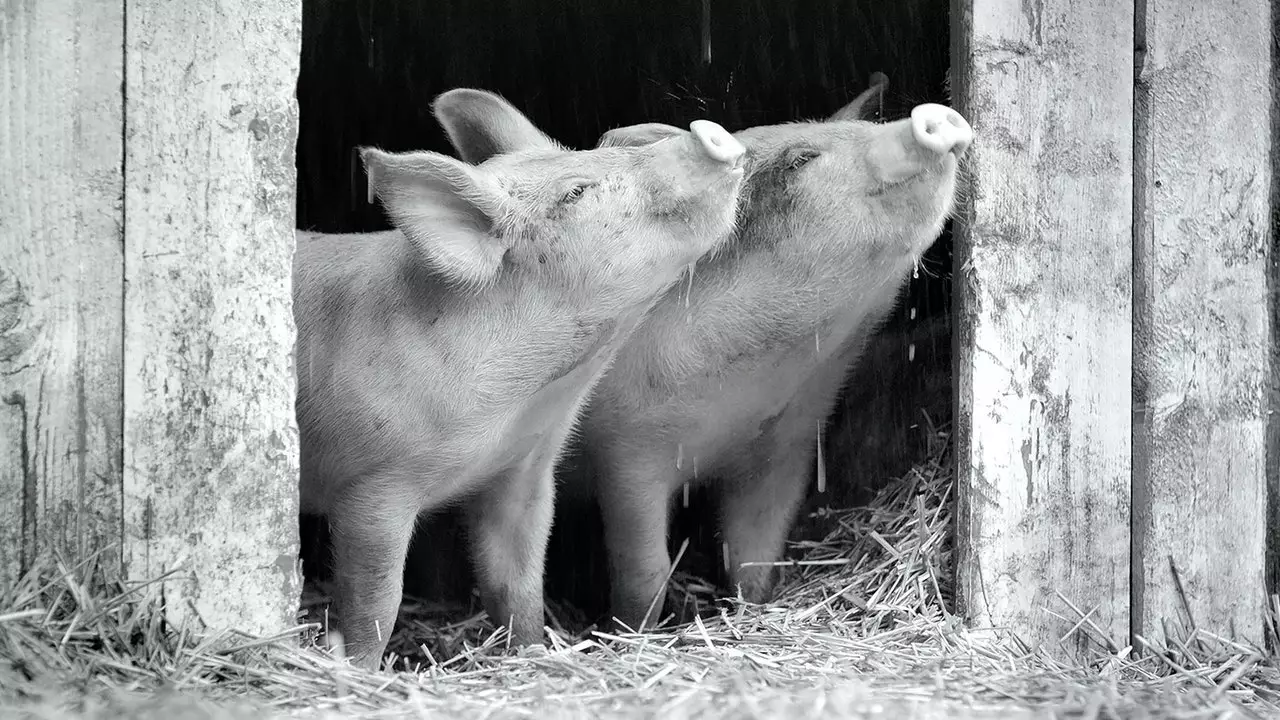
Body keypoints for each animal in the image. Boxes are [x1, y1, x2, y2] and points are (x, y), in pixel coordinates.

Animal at [293, 88, 747, 666]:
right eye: (576, 191)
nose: (704, 130)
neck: (517, 403)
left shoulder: (522, 470)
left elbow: (517, 583)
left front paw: (533, 654)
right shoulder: (372, 485)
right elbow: (374, 601)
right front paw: (359, 668)